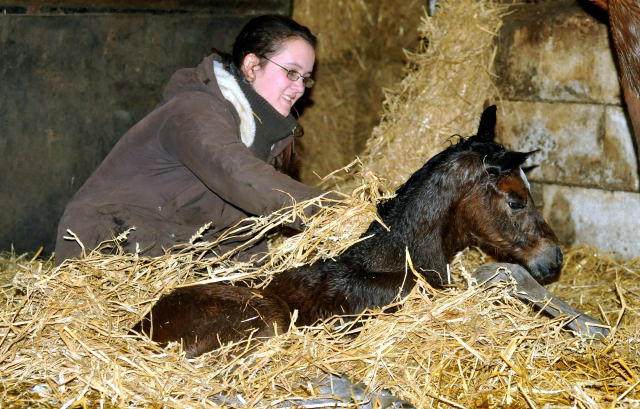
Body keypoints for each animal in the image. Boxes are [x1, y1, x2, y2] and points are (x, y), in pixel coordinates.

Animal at [134, 105, 604, 356]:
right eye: (516, 200)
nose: (554, 259)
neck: (396, 258)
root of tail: (141, 328)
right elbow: (497, 275)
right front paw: (590, 327)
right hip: (269, 319)